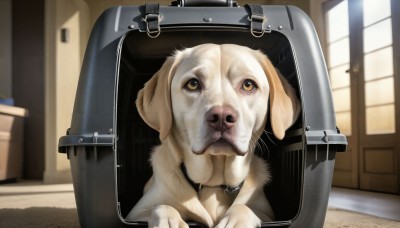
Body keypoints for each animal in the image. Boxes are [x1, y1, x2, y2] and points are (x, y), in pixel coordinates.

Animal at [126, 43, 298, 227]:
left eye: (248, 85)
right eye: (193, 84)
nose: (222, 118)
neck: (213, 186)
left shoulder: (267, 214)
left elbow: (245, 208)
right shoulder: (136, 213)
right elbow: (161, 206)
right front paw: (169, 221)